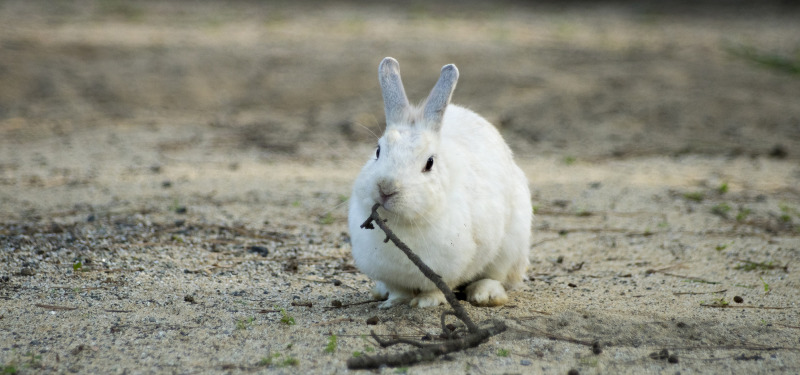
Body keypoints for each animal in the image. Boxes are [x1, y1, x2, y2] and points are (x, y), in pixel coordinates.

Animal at [348, 56, 532, 308]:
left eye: (429, 163)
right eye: (378, 151)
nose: (386, 189)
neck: (403, 223)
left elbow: (439, 287)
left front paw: (426, 303)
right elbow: (398, 290)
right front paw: (394, 301)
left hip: (512, 244)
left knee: (498, 276)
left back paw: (485, 294)